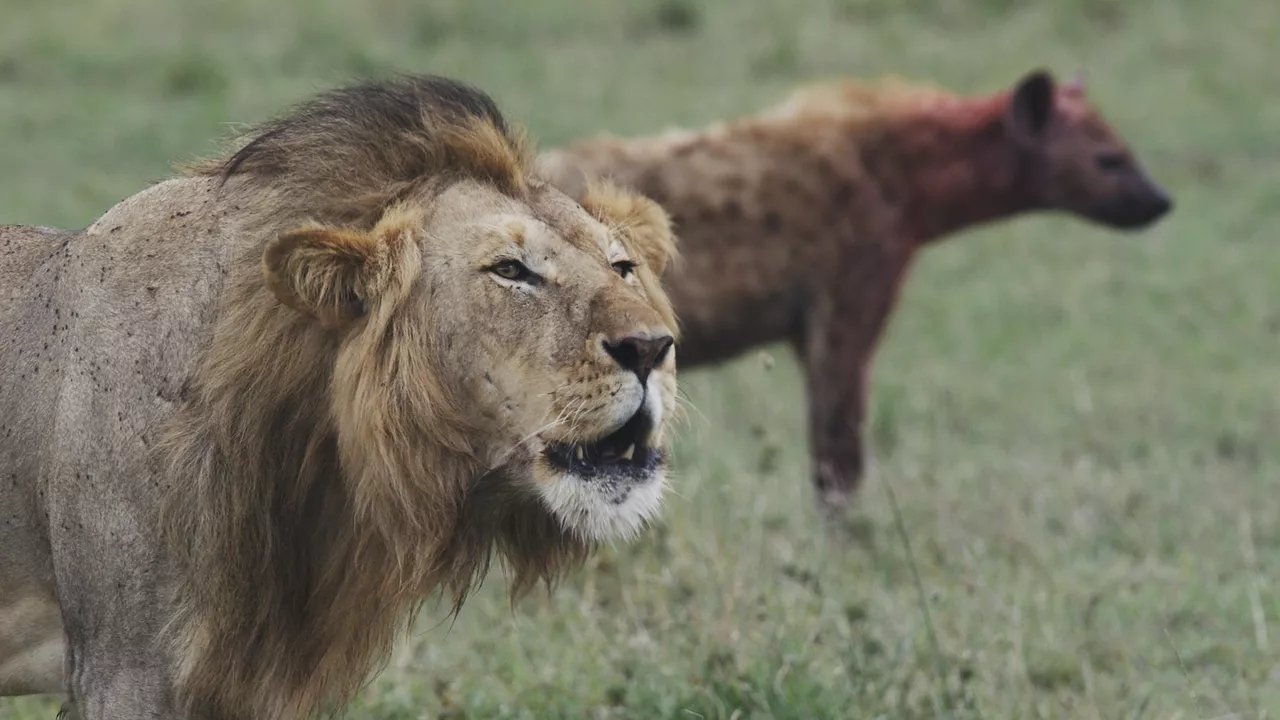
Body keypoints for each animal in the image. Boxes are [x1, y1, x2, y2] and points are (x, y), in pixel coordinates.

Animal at [539, 69, 1171, 512]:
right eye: (1109, 159)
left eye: (1125, 149)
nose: (1162, 200)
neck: (902, 175)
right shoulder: (849, 290)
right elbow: (839, 444)